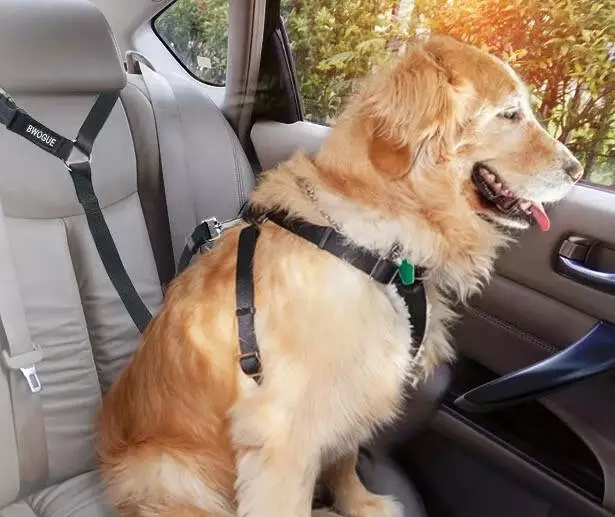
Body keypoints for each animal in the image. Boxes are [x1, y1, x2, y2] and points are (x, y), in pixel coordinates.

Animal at [97, 35, 582, 517]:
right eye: (510, 114)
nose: (576, 171)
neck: (377, 242)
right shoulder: (281, 430)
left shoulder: (356, 384)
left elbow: (346, 457)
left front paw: (360, 502)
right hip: (168, 469)